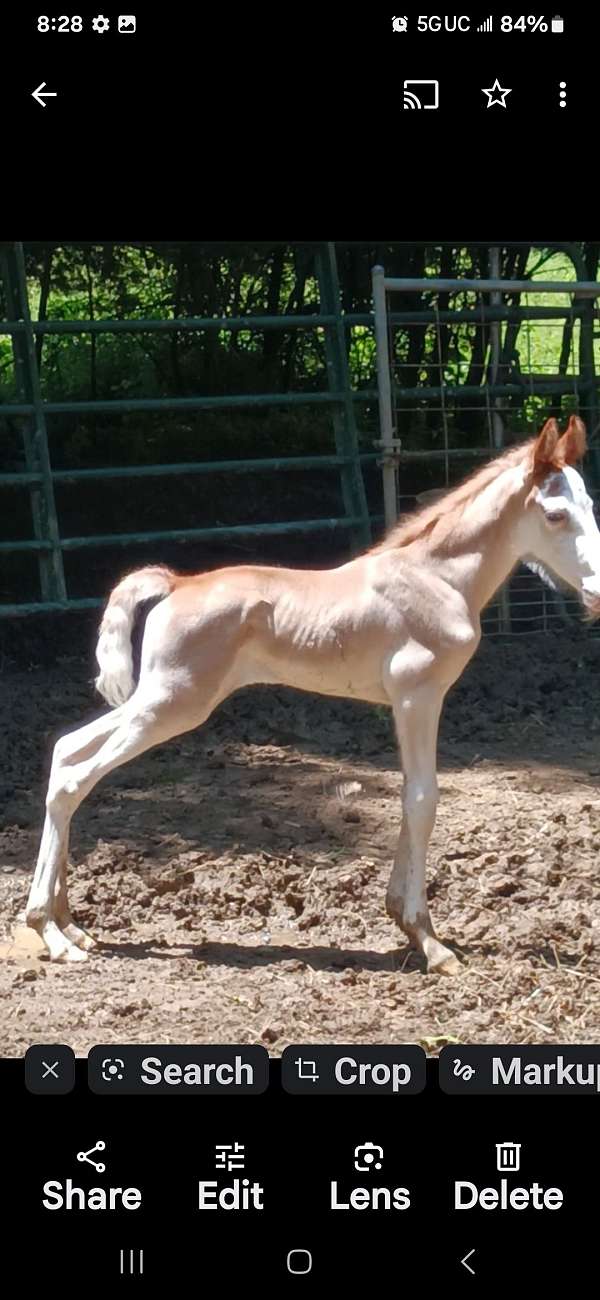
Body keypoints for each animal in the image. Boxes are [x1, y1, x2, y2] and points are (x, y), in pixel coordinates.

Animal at [24, 410, 600, 972]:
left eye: (590, 505)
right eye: (555, 515)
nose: (597, 593)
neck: (436, 580)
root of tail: (176, 584)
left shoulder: (405, 703)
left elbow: (410, 795)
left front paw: (404, 921)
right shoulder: (418, 696)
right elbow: (423, 798)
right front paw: (429, 941)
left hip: (157, 701)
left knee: (66, 750)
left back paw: (70, 923)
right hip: (171, 704)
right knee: (75, 774)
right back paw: (51, 932)